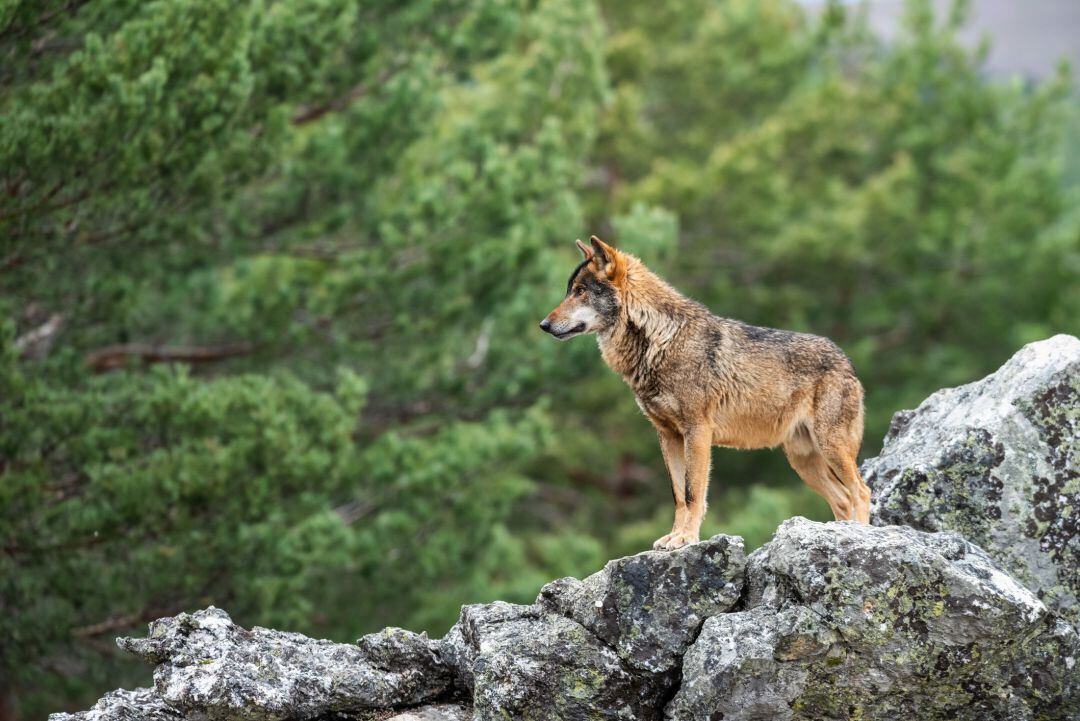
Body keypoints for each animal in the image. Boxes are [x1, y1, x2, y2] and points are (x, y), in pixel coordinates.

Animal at [540, 234, 868, 548]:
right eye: (570, 290)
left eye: (581, 291)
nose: (543, 324)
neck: (660, 340)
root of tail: (847, 361)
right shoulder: (668, 435)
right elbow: (677, 495)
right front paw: (673, 538)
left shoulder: (697, 432)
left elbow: (692, 492)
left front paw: (686, 539)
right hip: (804, 461)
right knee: (843, 498)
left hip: (829, 447)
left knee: (861, 491)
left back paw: (862, 534)